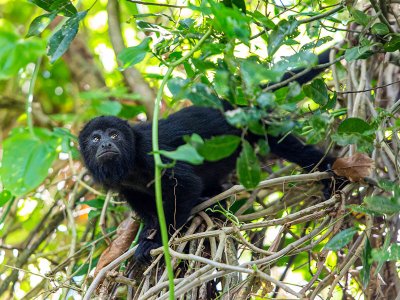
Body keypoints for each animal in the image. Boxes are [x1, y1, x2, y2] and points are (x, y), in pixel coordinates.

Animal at [77, 49, 334, 262]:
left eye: (114, 134)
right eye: (95, 138)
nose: (106, 144)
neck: (130, 166)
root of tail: (236, 103)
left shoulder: (150, 152)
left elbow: (185, 186)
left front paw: (157, 241)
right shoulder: (126, 185)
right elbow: (149, 211)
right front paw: (146, 235)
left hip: (258, 123)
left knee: (293, 149)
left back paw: (331, 175)